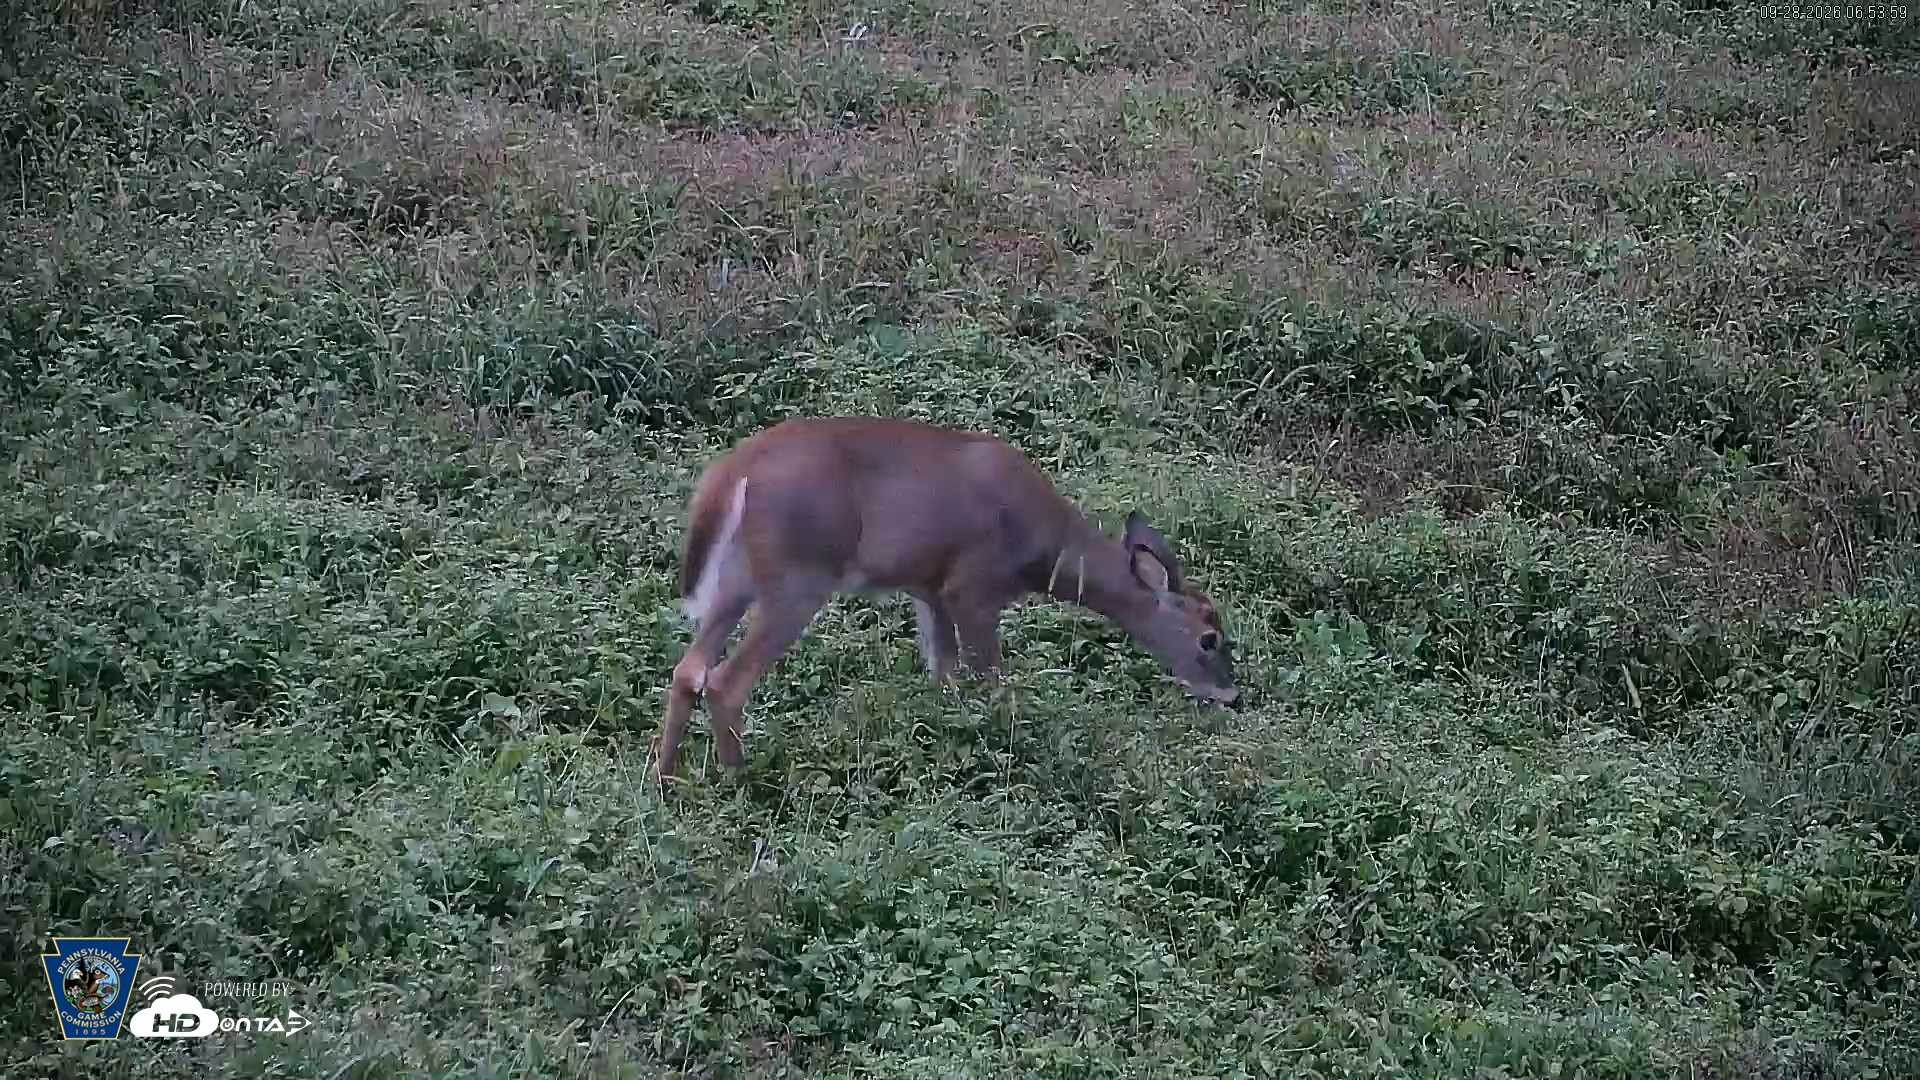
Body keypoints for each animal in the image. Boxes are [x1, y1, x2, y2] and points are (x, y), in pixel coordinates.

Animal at [654, 415, 1242, 782]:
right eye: (1209, 637)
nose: (1233, 696)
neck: (1044, 549)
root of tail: (733, 471)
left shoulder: (929, 589)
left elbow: (945, 677)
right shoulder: (971, 586)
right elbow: (997, 685)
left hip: (736, 578)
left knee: (688, 670)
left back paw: (668, 780)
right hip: (799, 576)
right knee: (725, 681)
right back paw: (739, 780)